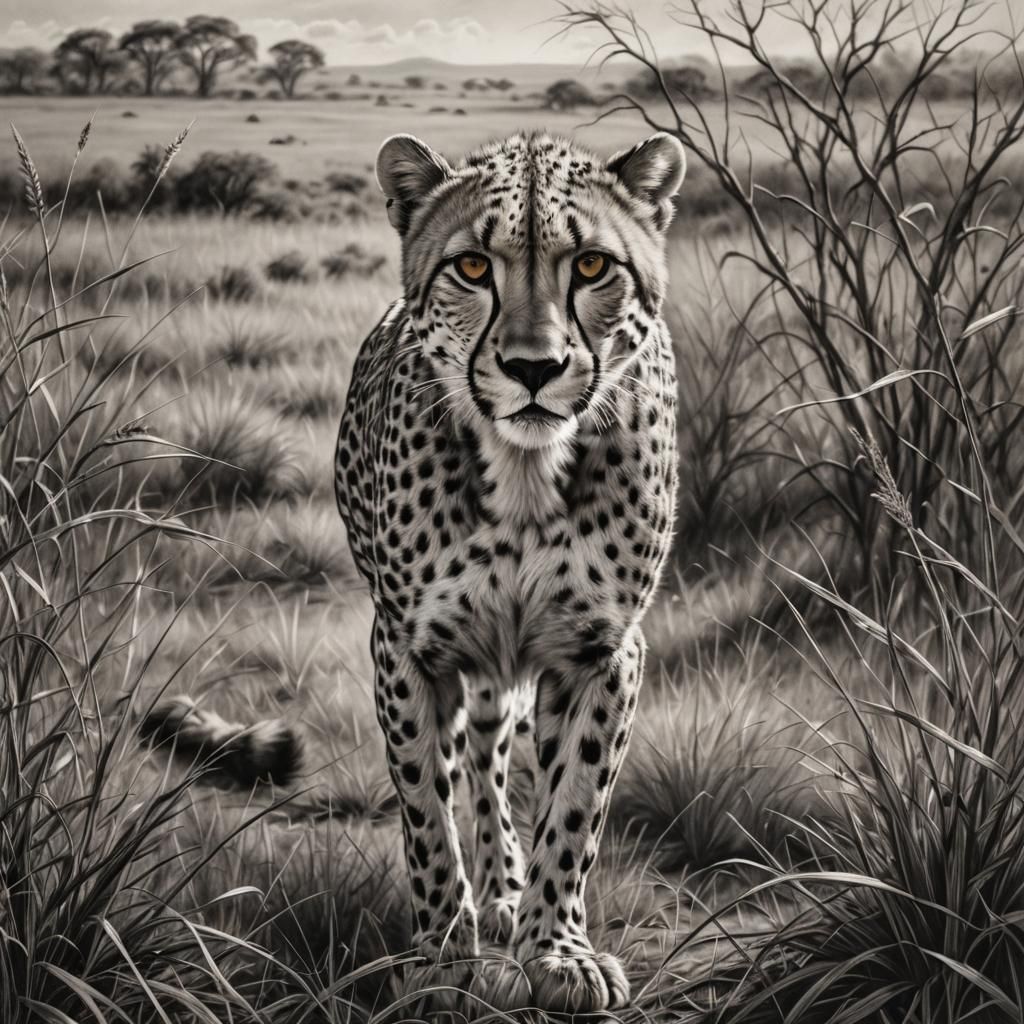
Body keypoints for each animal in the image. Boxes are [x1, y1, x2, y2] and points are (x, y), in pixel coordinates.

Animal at [331, 129, 685, 1013]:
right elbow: (426, 809)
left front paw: (556, 950)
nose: (534, 367)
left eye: (591, 266)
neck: (525, 474)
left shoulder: (603, 653)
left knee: (497, 751)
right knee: (481, 760)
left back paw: (506, 891)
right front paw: (441, 957)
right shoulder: (408, 650)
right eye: (471, 267)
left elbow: (576, 809)